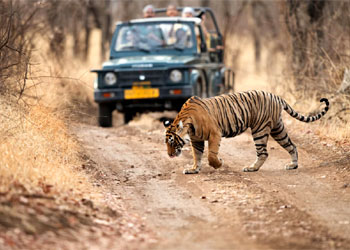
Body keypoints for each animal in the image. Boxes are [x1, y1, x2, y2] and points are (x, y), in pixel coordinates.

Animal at [163, 90, 330, 174]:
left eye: (172, 142)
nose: (169, 155)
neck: (188, 123)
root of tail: (276, 96)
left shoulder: (215, 134)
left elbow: (211, 155)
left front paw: (219, 163)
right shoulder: (196, 139)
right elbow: (196, 155)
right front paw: (193, 169)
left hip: (259, 129)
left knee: (263, 153)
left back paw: (252, 168)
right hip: (277, 129)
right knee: (292, 145)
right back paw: (292, 165)